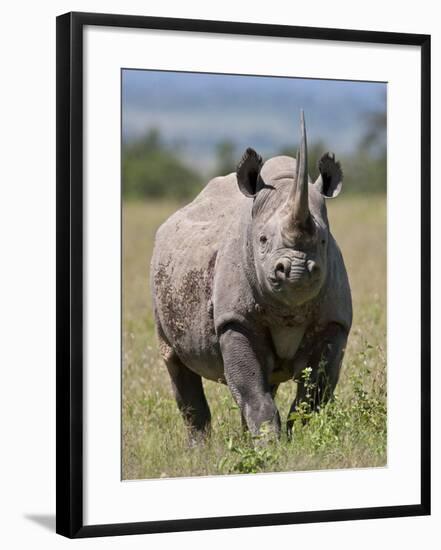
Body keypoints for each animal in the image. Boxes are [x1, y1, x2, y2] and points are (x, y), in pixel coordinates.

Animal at [150, 112, 350, 440]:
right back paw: (201, 449)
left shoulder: (335, 321)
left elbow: (314, 393)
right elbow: (251, 389)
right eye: (263, 240)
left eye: (323, 241)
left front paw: (297, 440)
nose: (296, 271)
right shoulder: (234, 319)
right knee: (176, 362)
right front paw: (271, 445)